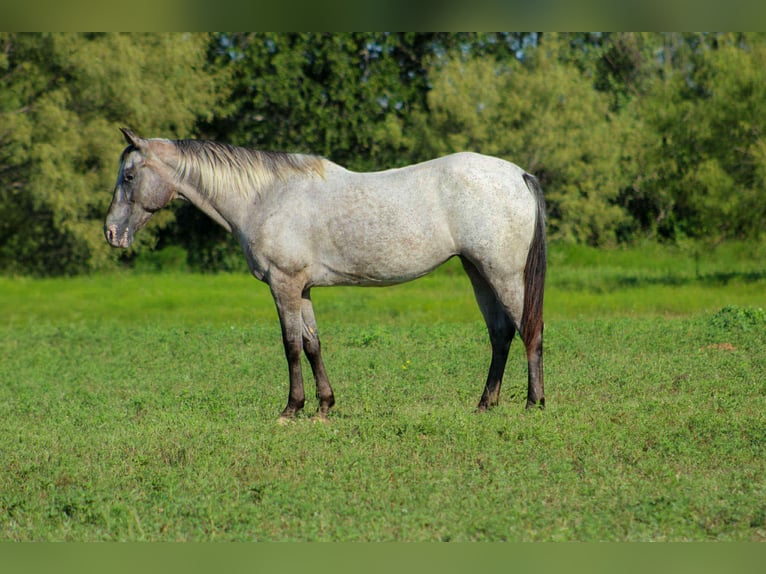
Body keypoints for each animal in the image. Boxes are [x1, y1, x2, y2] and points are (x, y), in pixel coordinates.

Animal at [105, 128, 547, 422]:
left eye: (129, 176)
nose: (111, 233)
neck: (265, 197)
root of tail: (517, 174)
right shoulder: (302, 288)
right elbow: (312, 343)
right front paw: (323, 406)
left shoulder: (283, 284)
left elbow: (290, 345)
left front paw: (291, 408)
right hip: (478, 272)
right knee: (500, 334)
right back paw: (485, 403)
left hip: (504, 275)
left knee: (529, 330)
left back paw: (534, 402)